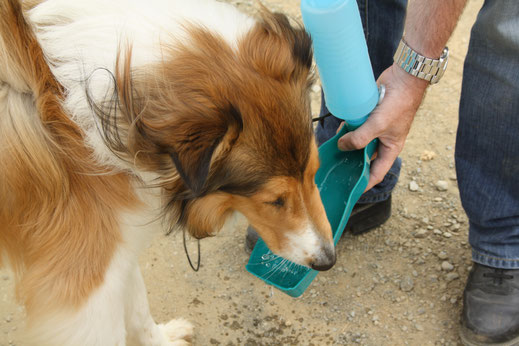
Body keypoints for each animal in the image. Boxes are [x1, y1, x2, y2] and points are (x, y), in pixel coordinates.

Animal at [0, 0, 338, 344]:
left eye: (314, 174)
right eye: (274, 200)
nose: (327, 261)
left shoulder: (119, 244)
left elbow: (138, 305)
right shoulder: (83, 282)